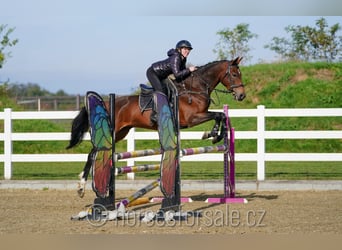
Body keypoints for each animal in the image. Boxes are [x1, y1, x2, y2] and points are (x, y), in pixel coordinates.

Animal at [67, 57, 244, 197]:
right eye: (234, 74)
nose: (242, 95)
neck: (194, 89)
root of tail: (106, 103)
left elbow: (221, 115)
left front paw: (215, 135)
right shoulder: (192, 118)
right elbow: (218, 115)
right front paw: (212, 134)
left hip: (121, 132)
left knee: (94, 153)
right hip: (113, 132)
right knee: (93, 153)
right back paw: (81, 187)